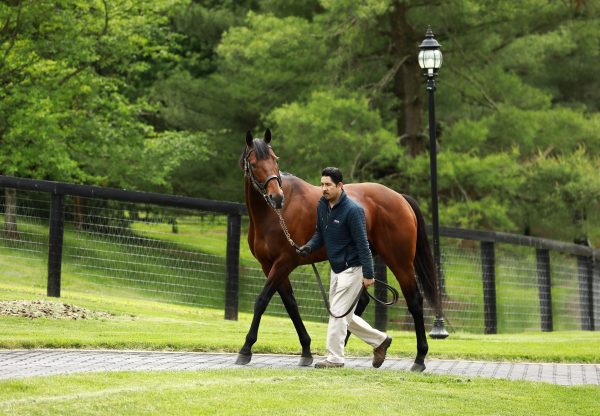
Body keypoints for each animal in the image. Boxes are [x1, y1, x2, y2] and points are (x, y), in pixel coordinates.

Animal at [237, 129, 442, 370]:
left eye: (275, 159)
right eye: (253, 163)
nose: (276, 197)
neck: (274, 215)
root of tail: (401, 198)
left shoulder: (284, 262)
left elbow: (262, 301)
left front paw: (245, 349)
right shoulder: (269, 265)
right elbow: (290, 304)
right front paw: (306, 350)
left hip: (399, 261)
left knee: (415, 301)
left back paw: (419, 358)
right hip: (367, 260)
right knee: (358, 303)